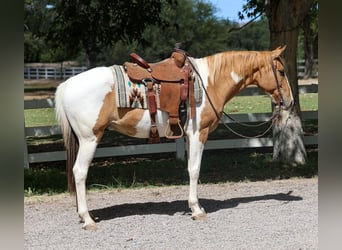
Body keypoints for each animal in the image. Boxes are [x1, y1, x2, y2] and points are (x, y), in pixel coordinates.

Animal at [55, 46, 294, 229]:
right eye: (282, 71)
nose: (290, 102)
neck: (209, 82)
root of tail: (67, 84)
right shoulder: (199, 133)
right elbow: (195, 170)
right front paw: (197, 209)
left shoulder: (188, 135)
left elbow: (190, 168)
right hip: (89, 139)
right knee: (80, 172)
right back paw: (87, 219)